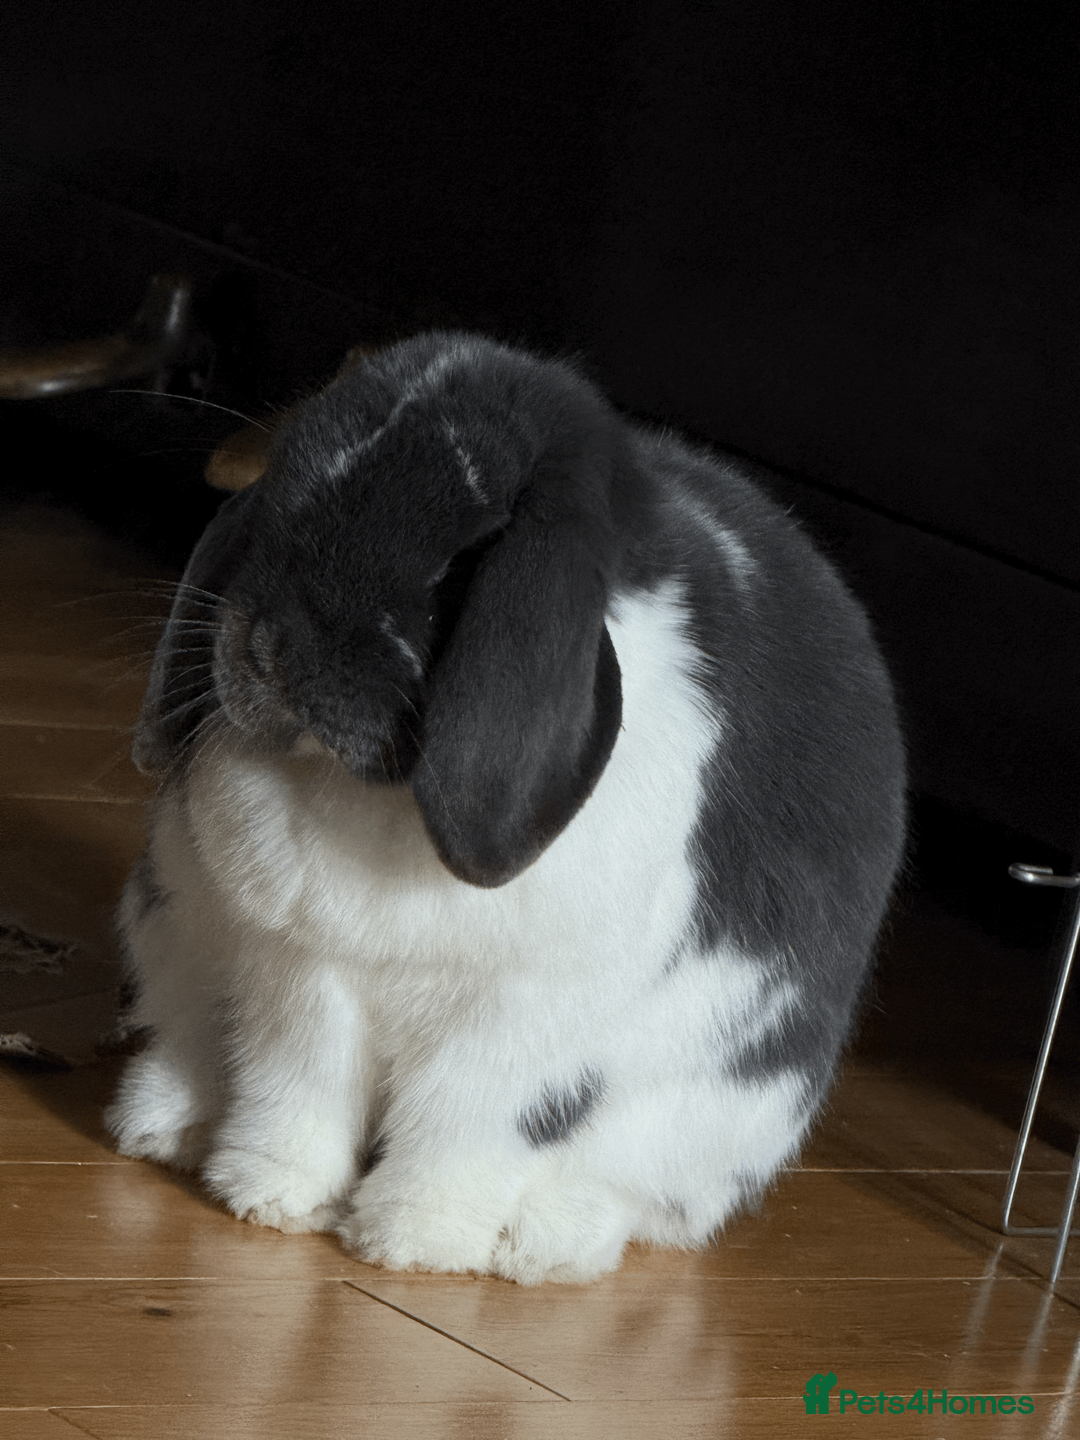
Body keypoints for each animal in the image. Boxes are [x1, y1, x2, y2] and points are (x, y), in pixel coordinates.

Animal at [106, 330, 906, 1284]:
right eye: (281, 506)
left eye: (464, 561)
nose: (270, 650)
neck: (374, 797)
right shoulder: (302, 978)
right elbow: (297, 1088)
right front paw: (267, 1198)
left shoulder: (517, 1027)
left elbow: (466, 1129)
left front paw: (410, 1244)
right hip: (175, 941)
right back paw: (167, 1127)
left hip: (714, 1117)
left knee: (643, 1199)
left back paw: (543, 1246)